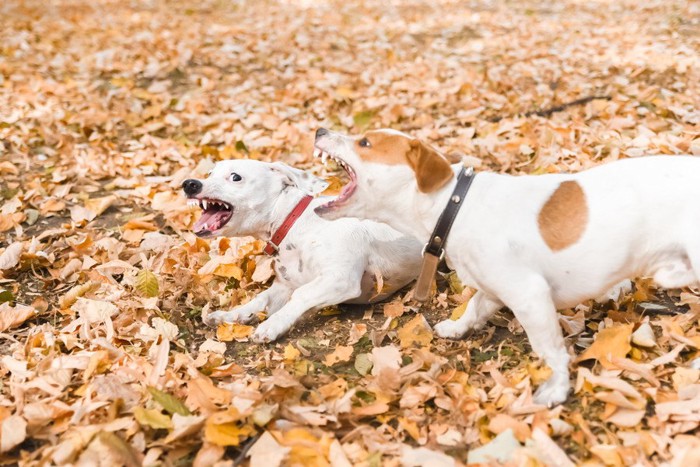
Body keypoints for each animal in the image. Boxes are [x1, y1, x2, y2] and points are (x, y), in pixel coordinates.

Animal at [180, 161, 422, 344]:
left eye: (235, 177)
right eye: (210, 173)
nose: (189, 184)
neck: (294, 224)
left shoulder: (340, 279)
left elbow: (302, 295)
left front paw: (272, 325)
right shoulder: (284, 286)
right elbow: (260, 300)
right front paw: (231, 315)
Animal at [314, 127, 696, 406]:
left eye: (365, 142)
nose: (319, 129)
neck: (454, 205)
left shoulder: (530, 296)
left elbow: (549, 349)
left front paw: (557, 387)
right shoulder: (494, 288)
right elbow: (473, 307)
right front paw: (456, 327)